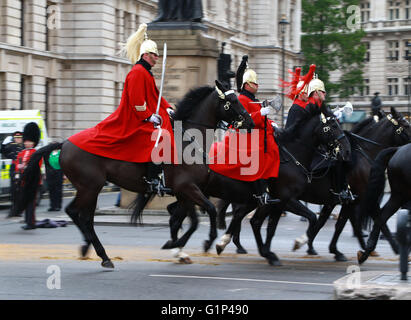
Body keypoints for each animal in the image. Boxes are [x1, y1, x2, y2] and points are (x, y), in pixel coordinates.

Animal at [18, 80, 254, 268]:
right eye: (232, 101)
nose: (250, 123)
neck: (187, 140)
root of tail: (65, 143)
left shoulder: (184, 192)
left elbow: (186, 219)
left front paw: (178, 248)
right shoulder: (187, 188)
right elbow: (208, 212)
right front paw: (198, 243)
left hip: (88, 188)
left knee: (79, 215)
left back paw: (90, 249)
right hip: (90, 187)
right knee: (80, 215)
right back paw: (102, 255)